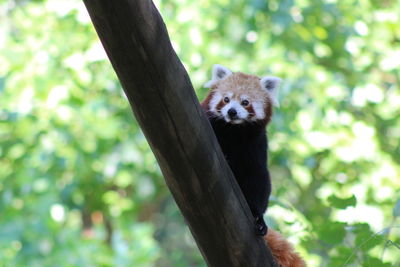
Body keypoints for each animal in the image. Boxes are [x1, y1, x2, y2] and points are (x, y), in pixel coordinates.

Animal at [202, 65, 304, 267]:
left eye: (245, 102)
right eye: (226, 99)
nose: (231, 112)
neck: (233, 131)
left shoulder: (255, 147)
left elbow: (259, 180)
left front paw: (258, 216)